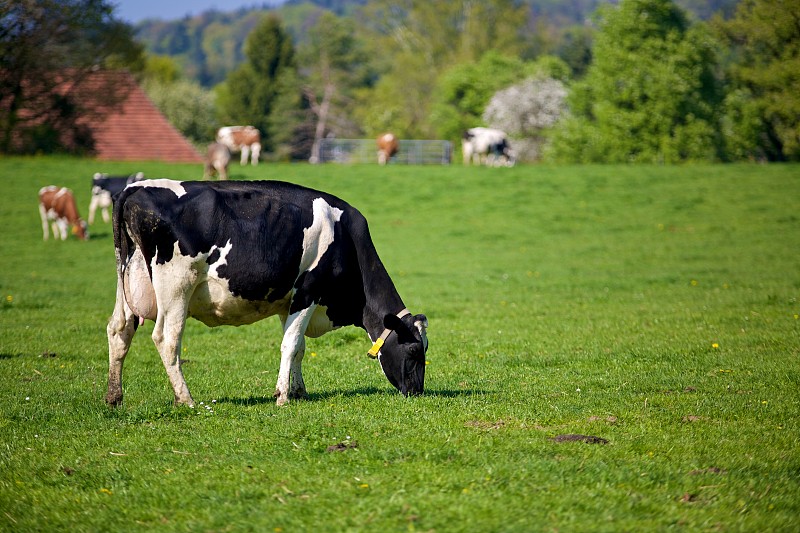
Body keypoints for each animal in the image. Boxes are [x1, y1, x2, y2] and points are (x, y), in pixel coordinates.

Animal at [107, 179, 432, 408]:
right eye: (414, 351)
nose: (417, 392)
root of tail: (134, 188)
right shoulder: (308, 292)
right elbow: (290, 344)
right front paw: (283, 396)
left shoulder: (288, 301)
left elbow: (299, 346)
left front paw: (299, 391)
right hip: (176, 285)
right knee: (167, 338)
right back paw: (185, 399)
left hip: (127, 282)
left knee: (119, 330)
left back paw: (114, 397)